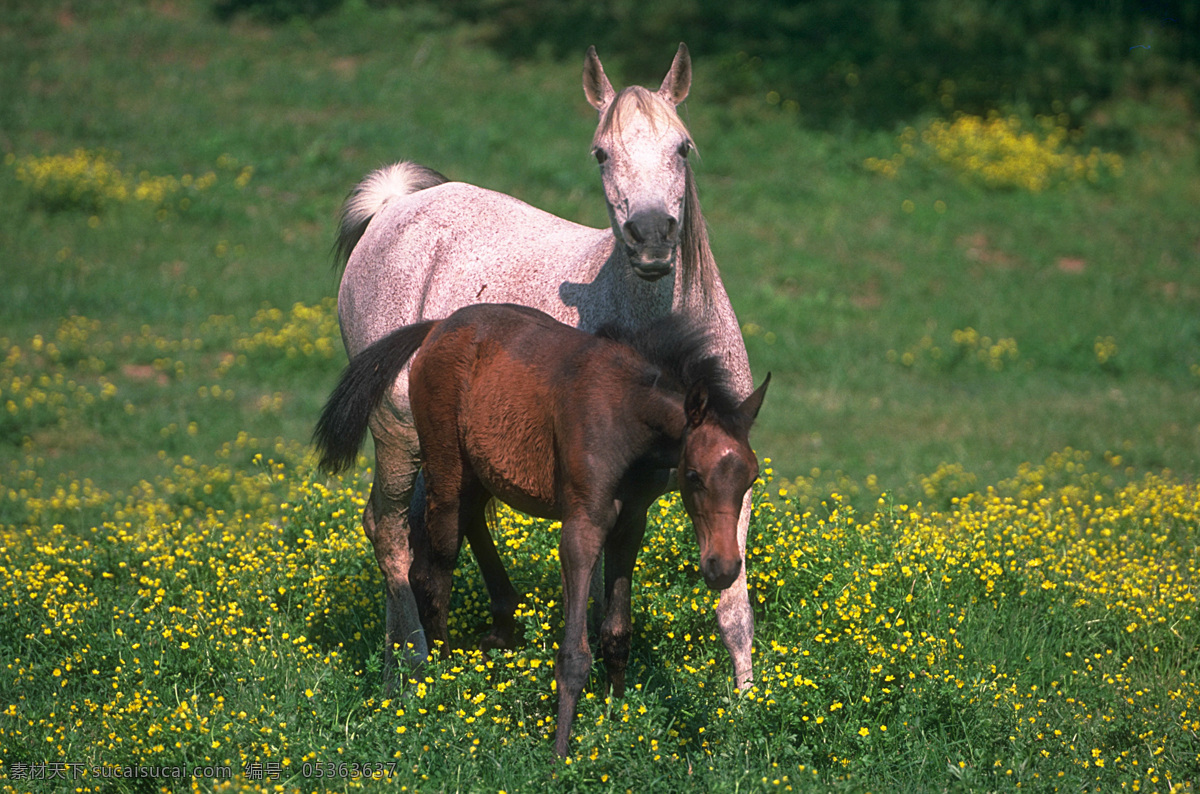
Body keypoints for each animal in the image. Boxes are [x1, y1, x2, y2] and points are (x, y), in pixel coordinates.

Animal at [333, 43, 753, 690]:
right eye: (602, 153)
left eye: (682, 147)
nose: (652, 238)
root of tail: (396, 206)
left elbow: (732, 605)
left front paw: (746, 700)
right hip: (397, 433)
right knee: (390, 532)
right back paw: (412, 664)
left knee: (441, 527)